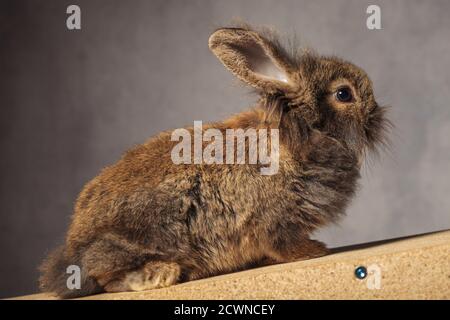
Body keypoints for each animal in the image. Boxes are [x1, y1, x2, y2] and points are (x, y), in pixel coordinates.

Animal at [39, 25, 390, 298]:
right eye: (344, 94)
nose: (377, 114)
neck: (299, 134)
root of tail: (70, 252)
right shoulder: (273, 221)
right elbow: (283, 244)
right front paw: (315, 251)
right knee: (107, 279)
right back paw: (162, 274)